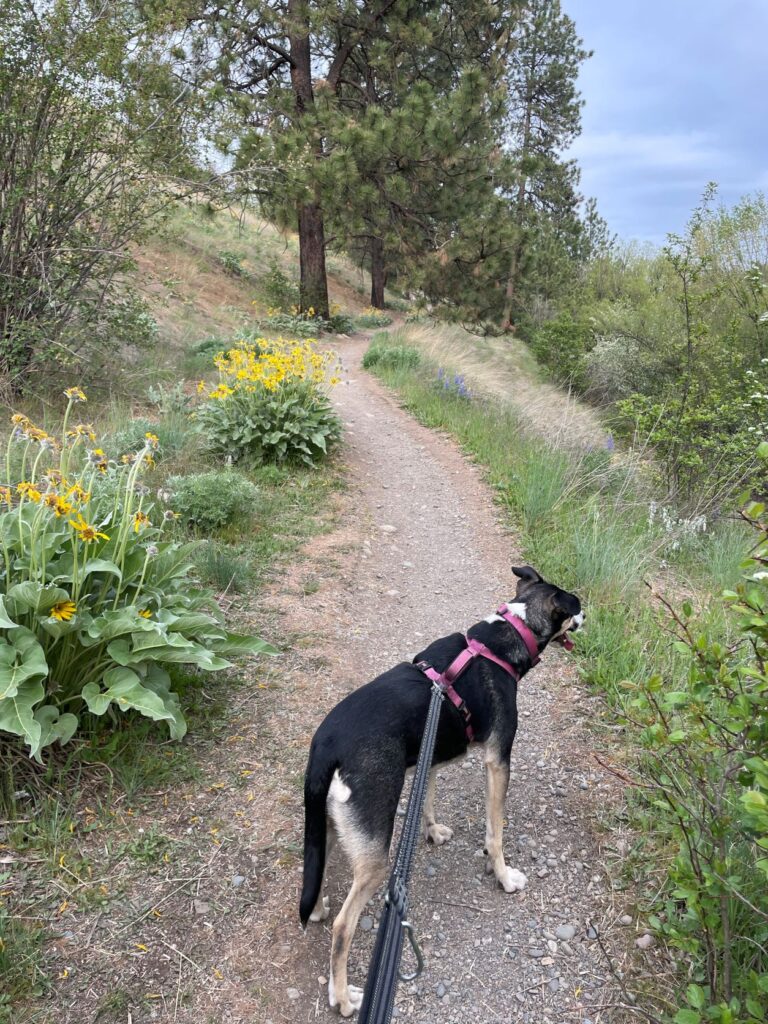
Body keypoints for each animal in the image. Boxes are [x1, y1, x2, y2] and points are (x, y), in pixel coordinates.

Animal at [301, 569, 581, 1015]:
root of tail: (327, 745)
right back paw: (343, 998)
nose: (587, 620)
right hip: (374, 855)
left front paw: (431, 831)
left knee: (316, 873)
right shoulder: (498, 761)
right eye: (575, 610)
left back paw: (318, 911)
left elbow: (427, 799)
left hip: (325, 824)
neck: (502, 637)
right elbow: (495, 834)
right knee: (343, 927)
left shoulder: (429, 754)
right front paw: (503, 876)